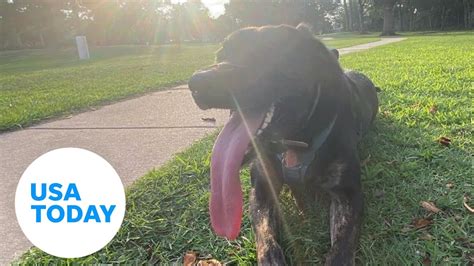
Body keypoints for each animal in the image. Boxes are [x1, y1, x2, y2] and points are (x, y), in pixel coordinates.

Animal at [188, 23, 378, 264]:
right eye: (220, 54)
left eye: (268, 52)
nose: (197, 82)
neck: (294, 139)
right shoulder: (261, 189)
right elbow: (265, 237)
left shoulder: (349, 193)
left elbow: (341, 248)